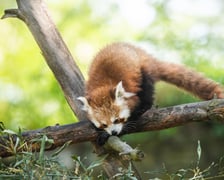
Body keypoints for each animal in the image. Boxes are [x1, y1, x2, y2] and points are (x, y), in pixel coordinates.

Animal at [77, 42, 224, 145]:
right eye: (104, 124)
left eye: (117, 119)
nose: (113, 132)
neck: (103, 85)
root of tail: (144, 54)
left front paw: (115, 131)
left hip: (143, 70)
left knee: (147, 88)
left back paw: (145, 106)